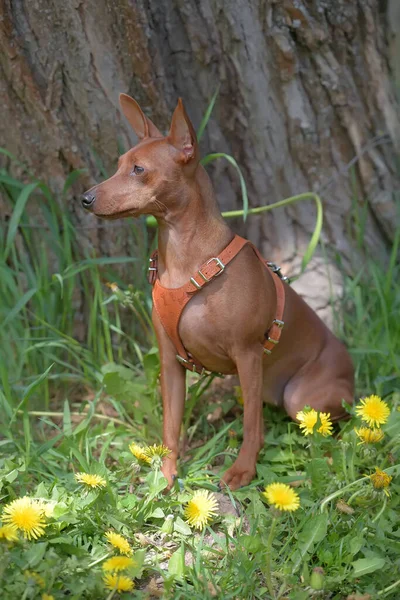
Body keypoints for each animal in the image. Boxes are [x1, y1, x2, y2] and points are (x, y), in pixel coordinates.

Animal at [81, 92, 354, 488]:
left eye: (139, 170)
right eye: (118, 166)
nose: (85, 198)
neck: (188, 260)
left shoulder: (248, 355)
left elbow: (252, 425)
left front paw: (243, 470)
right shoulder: (170, 363)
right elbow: (170, 427)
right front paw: (167, 475)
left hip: (301, 396)